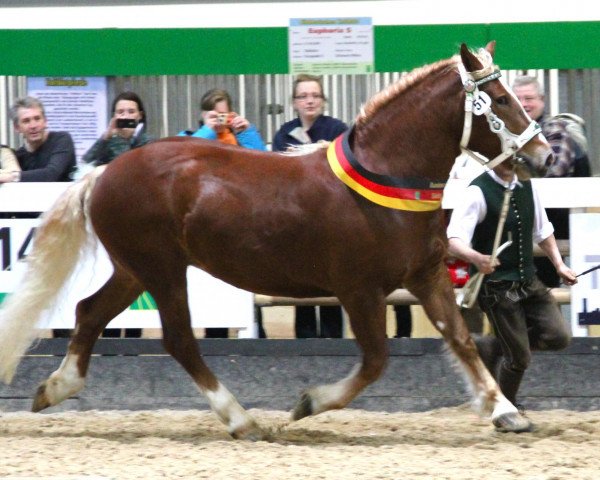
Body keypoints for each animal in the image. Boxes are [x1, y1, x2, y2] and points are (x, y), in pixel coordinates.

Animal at [0, 43, 552, 440]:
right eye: (501, 100)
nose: (543, 156)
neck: (388, 177)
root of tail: (105, 172)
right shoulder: (358, 289)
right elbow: (376, 360)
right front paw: (308, 403)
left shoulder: (425, 275)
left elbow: (459, 338)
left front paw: (506, 411)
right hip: (162, 268)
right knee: (178, 340)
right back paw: (241, 420)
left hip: (135, 268)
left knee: (89, 312)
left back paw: (55, 388)